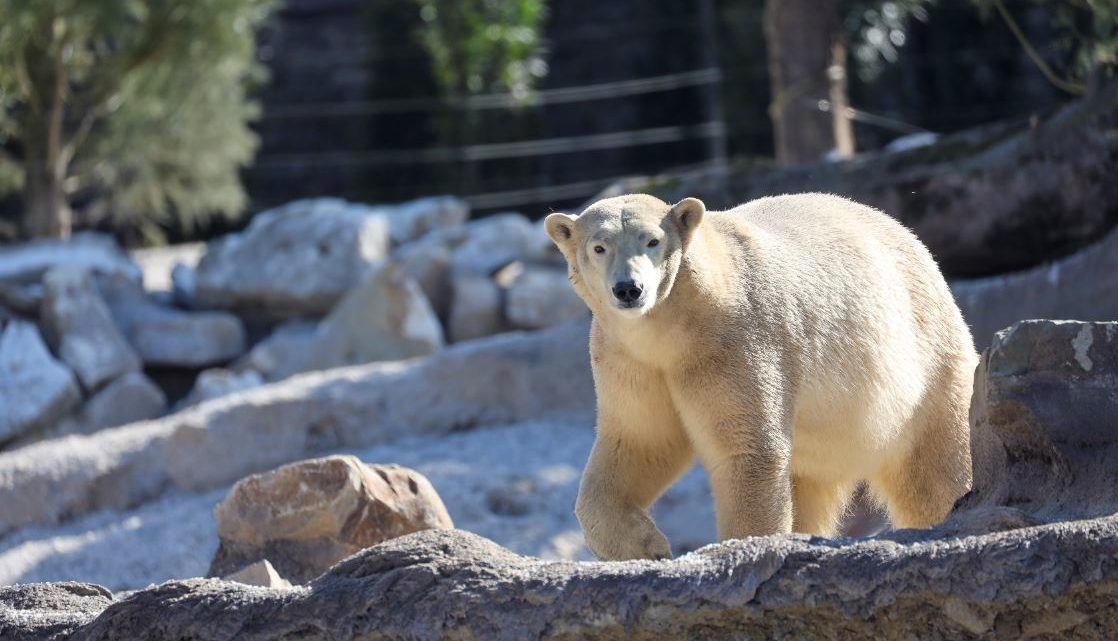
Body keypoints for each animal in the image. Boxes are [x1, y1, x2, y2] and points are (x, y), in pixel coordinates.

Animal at [547, 192, 979, 557]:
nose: (628, 289)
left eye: (652, 241)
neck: (674, 326)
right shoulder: (629, 360)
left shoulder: (735, 341)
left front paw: (740, 546)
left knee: (935, 468)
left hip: (924, 362)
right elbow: (641, 441)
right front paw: (648, 547)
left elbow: (748, 449)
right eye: (599, 247)